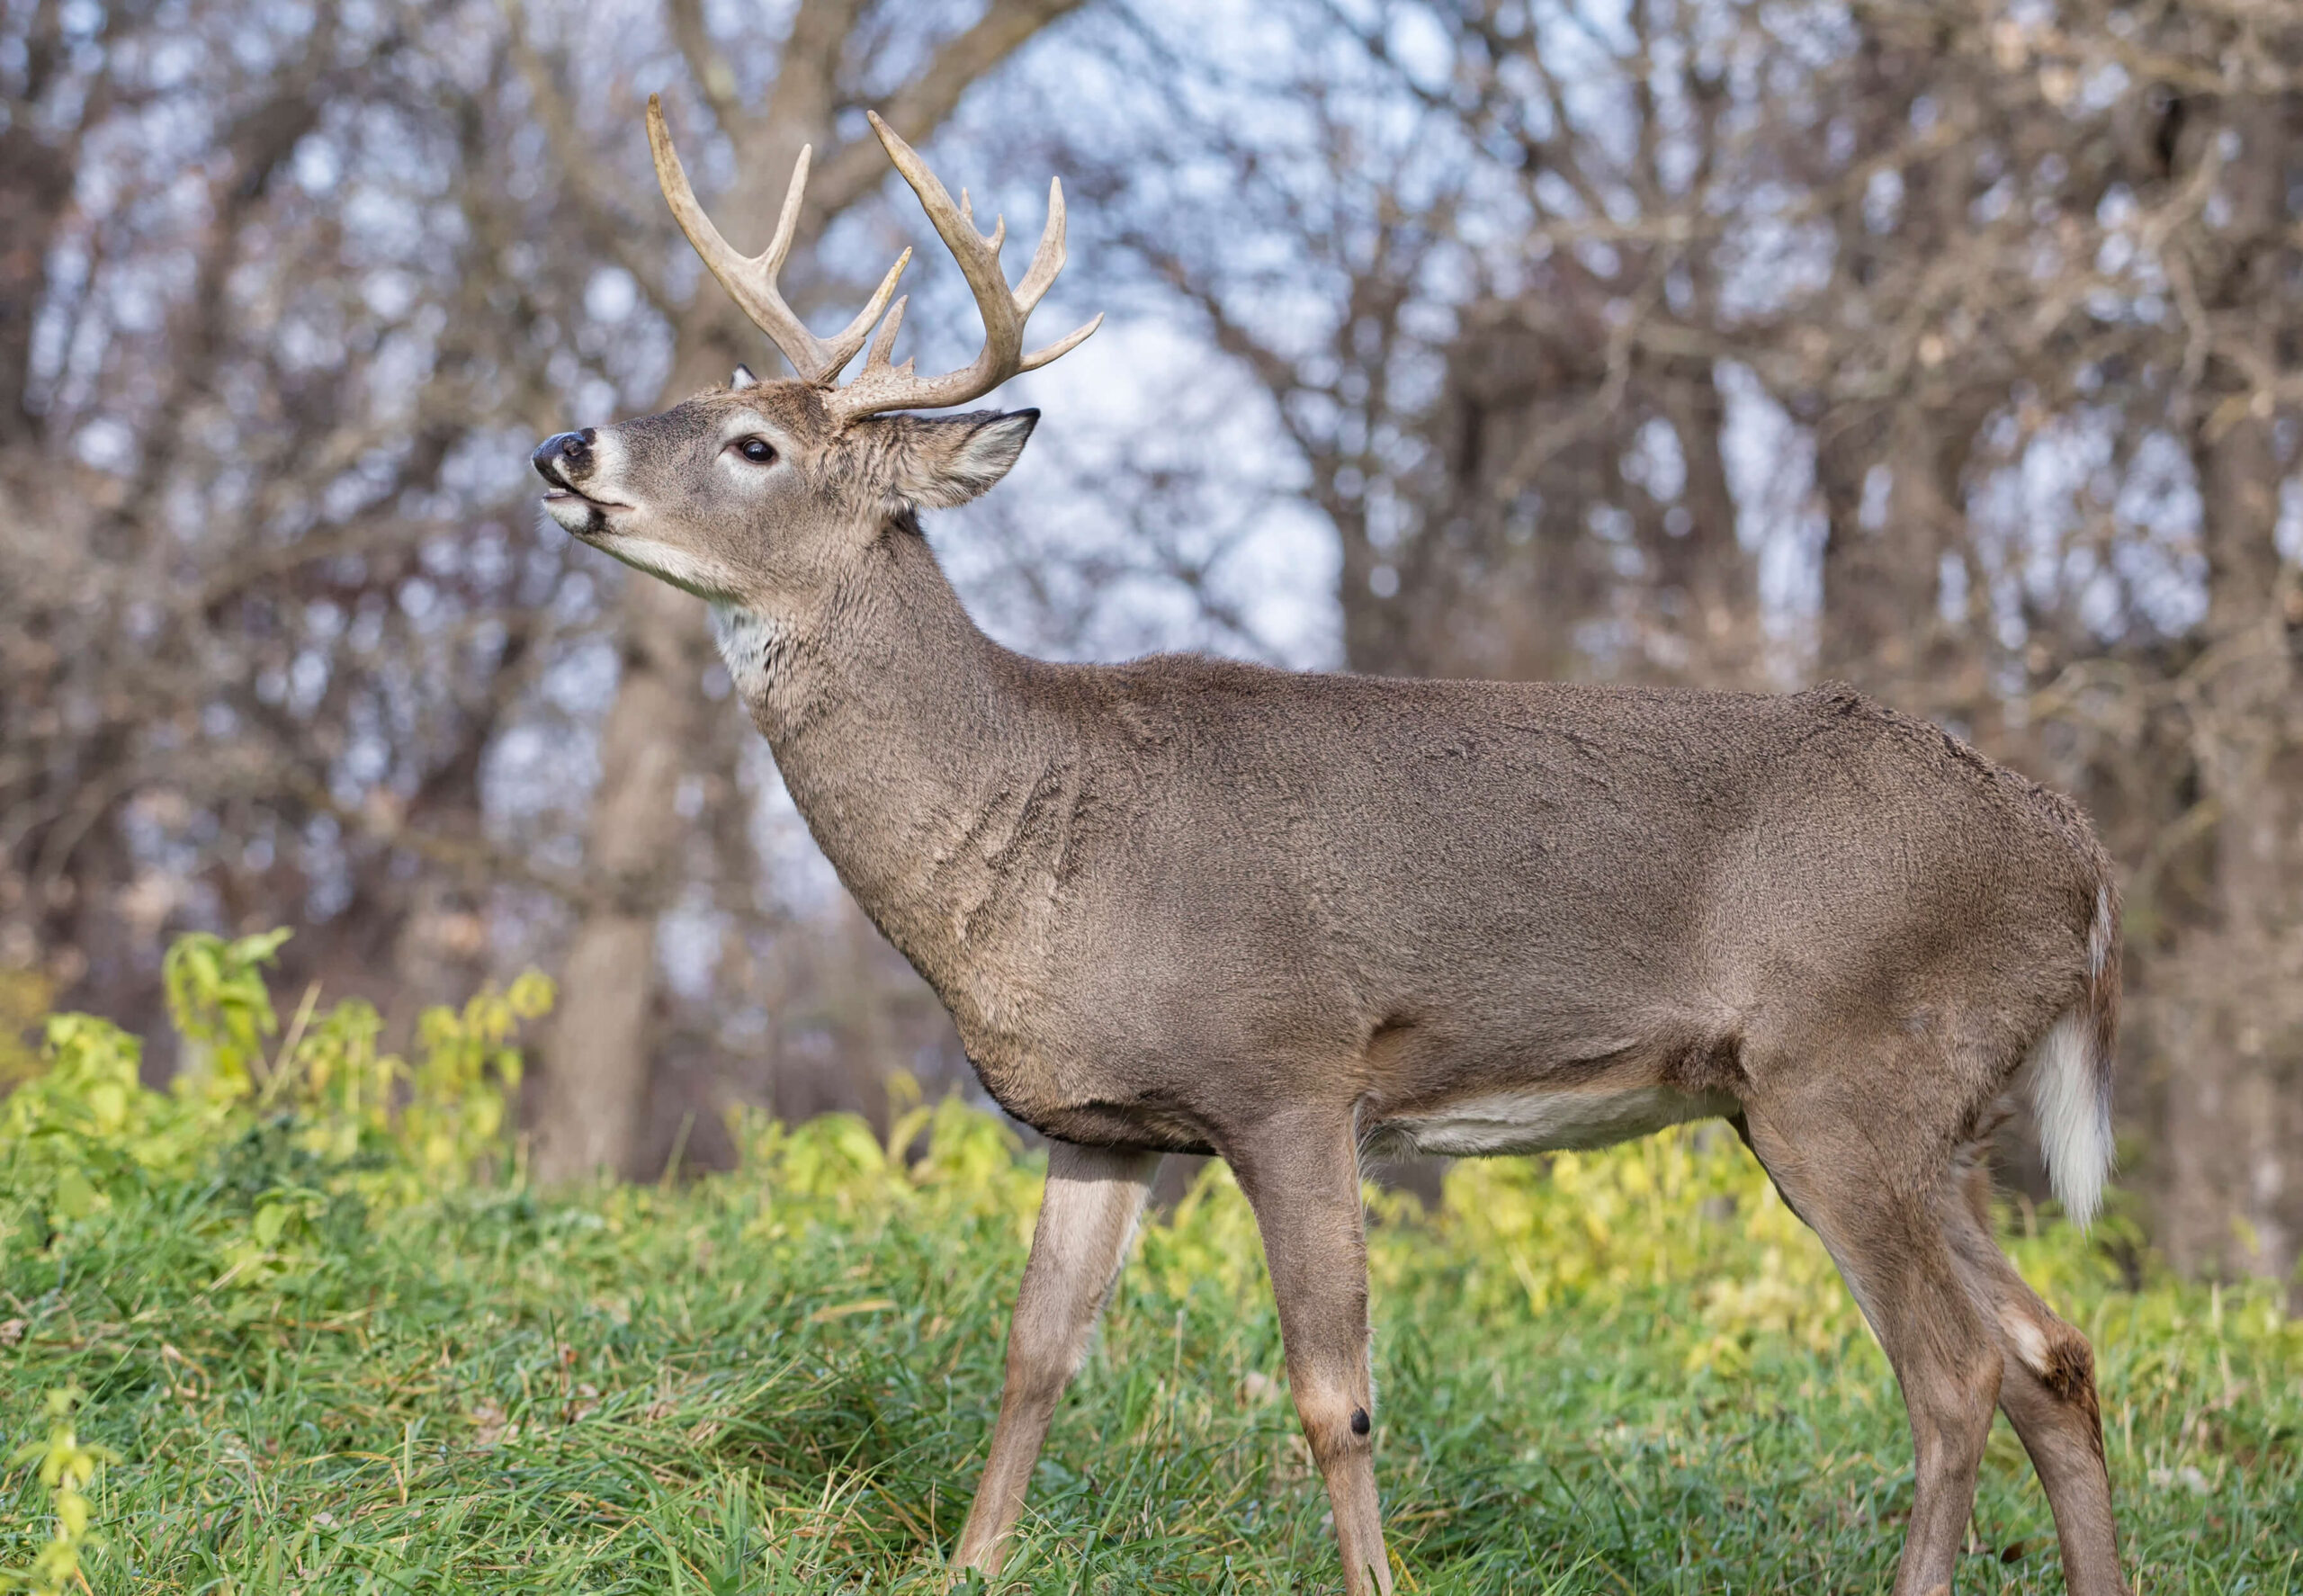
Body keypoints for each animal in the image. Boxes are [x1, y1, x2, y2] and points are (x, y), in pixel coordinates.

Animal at [529, 102, 2128, 1593]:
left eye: (755, 446)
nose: (562, 446)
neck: (1048, 825)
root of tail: (2084, 859)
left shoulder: (1294, 1071)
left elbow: (1332, 1398)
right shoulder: (1098, 1121)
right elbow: (1035, 1354)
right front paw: (971, 1563)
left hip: (1843, 1075)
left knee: (1953, 1373)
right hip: (1912, 1116)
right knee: (2055, 1351)